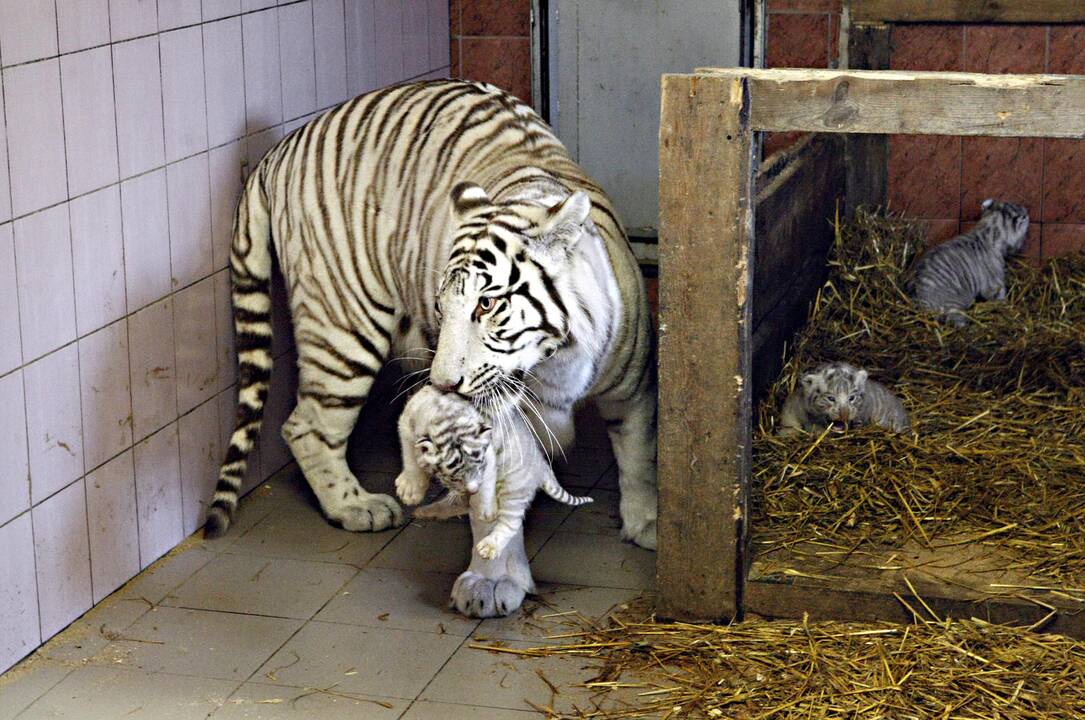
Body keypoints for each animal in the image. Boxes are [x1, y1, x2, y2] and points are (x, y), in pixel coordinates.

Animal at [207, 80, 655, 620]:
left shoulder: (634, 382)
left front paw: (649, 525)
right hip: (343, 325)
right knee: (306, 425)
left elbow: (639, 454)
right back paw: (356, 506)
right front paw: (490, 583)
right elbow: (490, 505)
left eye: (487, 304)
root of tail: (279, 150)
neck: (554, 365)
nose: (444, 384)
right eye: (443, 306)